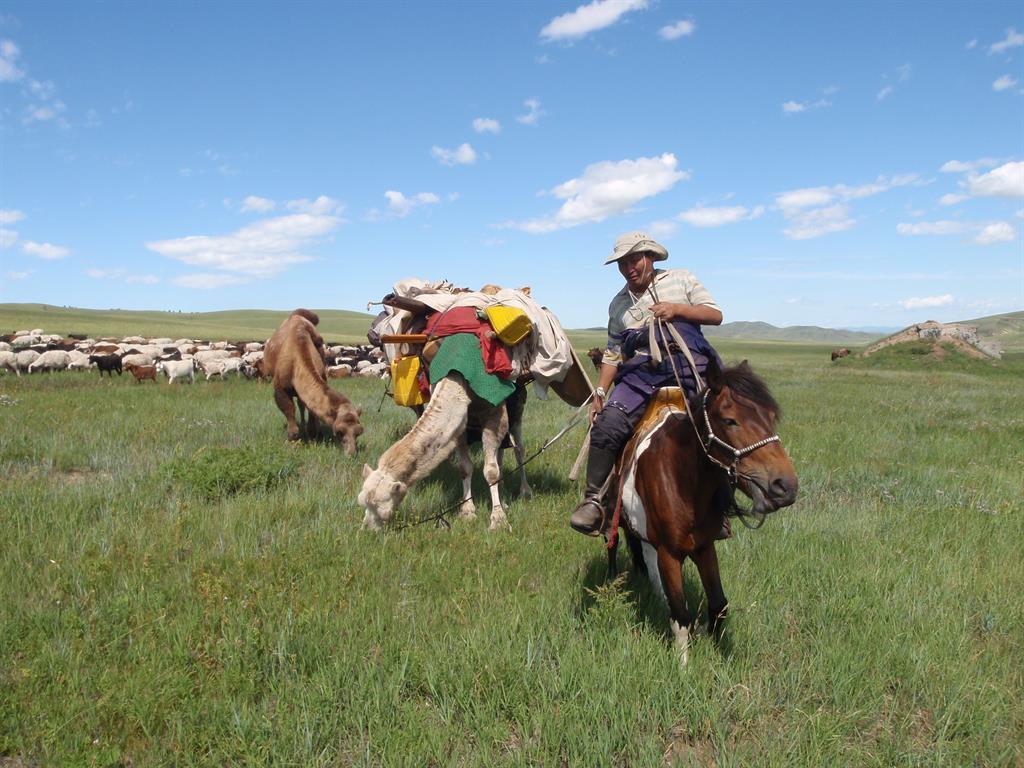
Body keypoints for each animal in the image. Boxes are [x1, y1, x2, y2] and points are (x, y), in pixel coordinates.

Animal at [260, 309, 364, 456]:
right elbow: (289, 411)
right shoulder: (280, 388)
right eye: (339, 431)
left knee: (301, 404)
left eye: (359, 432)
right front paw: (292, 442)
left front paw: (313, 439)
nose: (351, 453)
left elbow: (312, 412)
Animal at [606, 360, 798, 667]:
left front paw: (718, 653)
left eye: (771, 416)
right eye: (730, 420)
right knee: (612, 544)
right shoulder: (670, 553)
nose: (785, 486)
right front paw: (683, 665)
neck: (683, 479)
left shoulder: (704, 547)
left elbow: (719, 604)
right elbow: (680, 614)